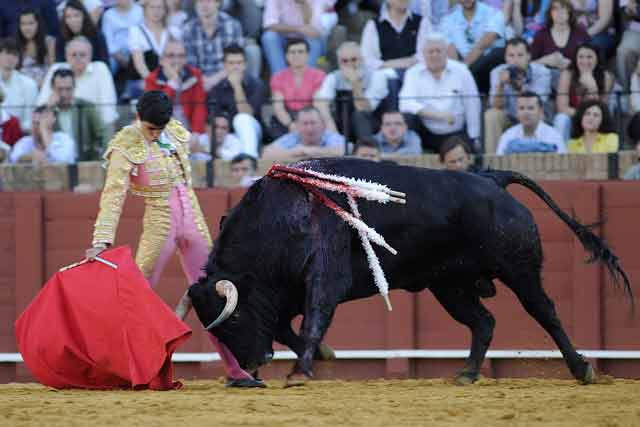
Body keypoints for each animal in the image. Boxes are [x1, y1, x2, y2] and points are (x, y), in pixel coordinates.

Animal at [182, 159, 632, 386]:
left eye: (232, 319)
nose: (252, 365)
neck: (279, 219)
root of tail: (492, 178)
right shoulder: (286, 292)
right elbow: (284, 326)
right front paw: (322, 356)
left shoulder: (323, 278)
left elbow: (312, 321)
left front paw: (300, 373)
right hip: (449, 286)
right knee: (483, 322)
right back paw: (467, 374)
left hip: (518, 269)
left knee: (545, 312)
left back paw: (582, 369)